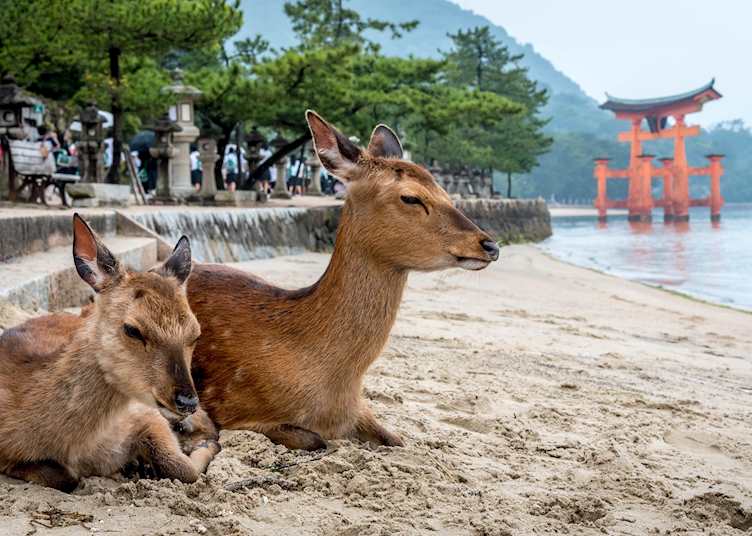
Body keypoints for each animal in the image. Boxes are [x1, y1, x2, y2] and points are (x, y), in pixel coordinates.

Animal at [0, 214, 220, 491]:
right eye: (132, 329)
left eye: (196, 333)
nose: (187, 400)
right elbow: (67, 478)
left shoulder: (146, 414)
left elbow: (185, 469)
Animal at [186, 111, 500, 450]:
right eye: (411, 198)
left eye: (446, 193)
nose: (490, 245)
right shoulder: (233, 408)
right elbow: (316, 441)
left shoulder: (359, 411)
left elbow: (398, 440)